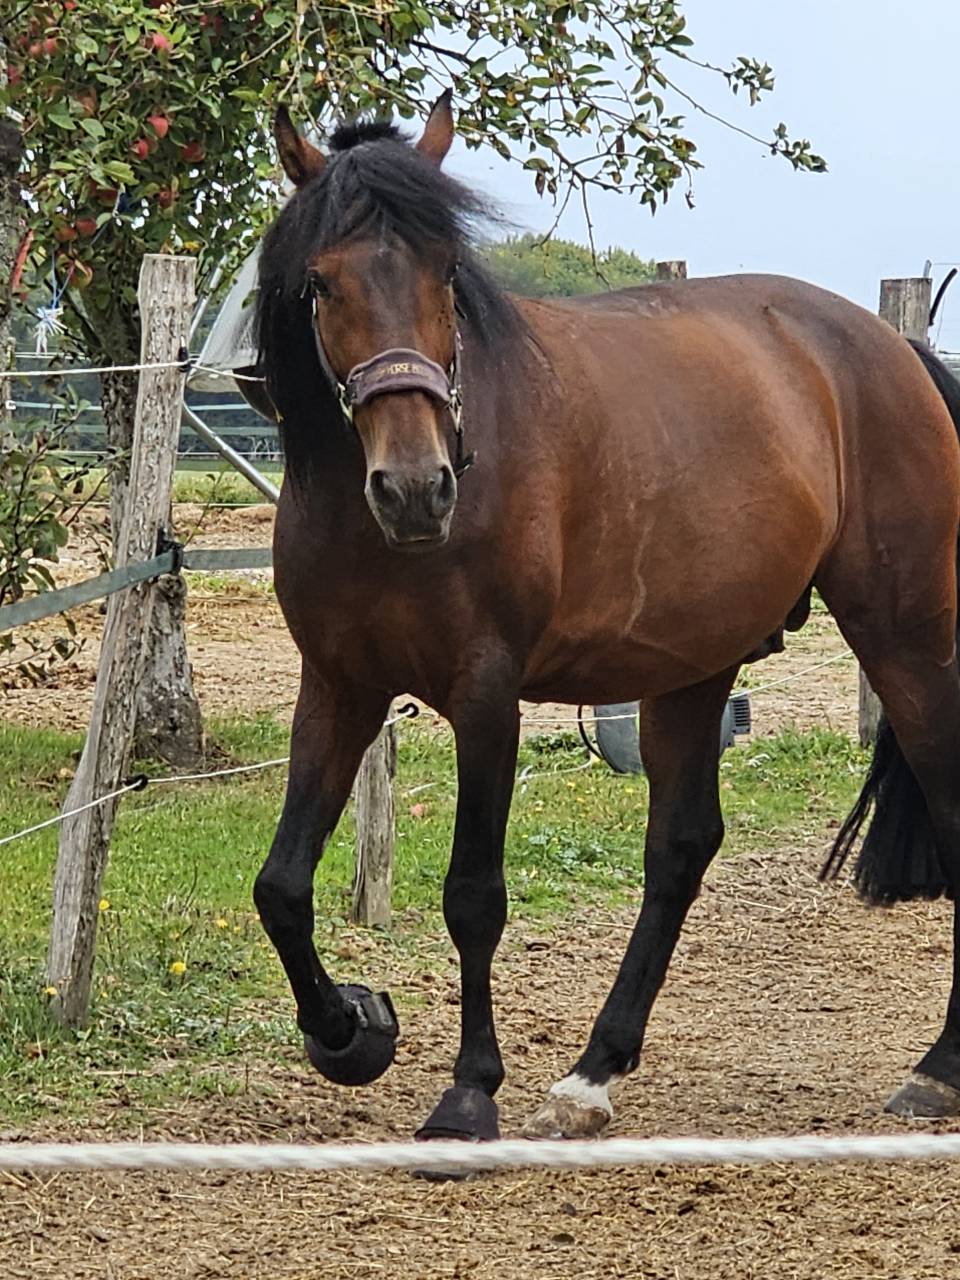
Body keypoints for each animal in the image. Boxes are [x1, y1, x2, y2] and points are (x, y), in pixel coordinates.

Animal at [249, 90, 960, 1144]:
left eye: (446, 273)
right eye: (321, 283)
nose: (417, 489)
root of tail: (889, 350)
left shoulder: (486, 694)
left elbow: (473, 896)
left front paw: (468, 1092)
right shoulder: (339, 686)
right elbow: (283, 887)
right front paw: (351, 1031)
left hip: (904, 636)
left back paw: (938, 1067)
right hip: (694, 665)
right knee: (681, 848)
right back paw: (594, 1071)